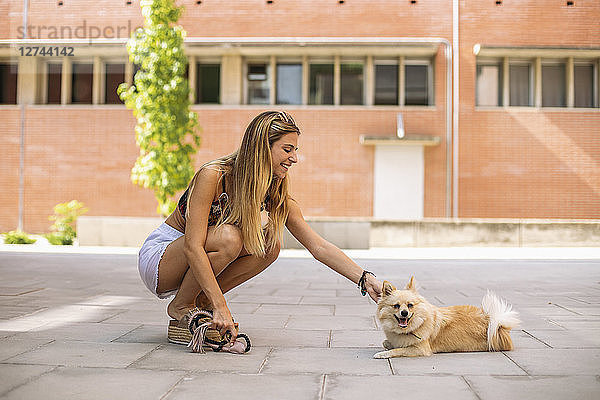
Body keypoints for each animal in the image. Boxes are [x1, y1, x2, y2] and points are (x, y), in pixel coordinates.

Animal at [376, 276, 520, 358]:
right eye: (396, 306)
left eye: (410, 305)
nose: (404, 313)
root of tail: (493, 321)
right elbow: (387, 343)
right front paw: (388, 345)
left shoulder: (421, 349)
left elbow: (398, 350)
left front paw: (383, 354)